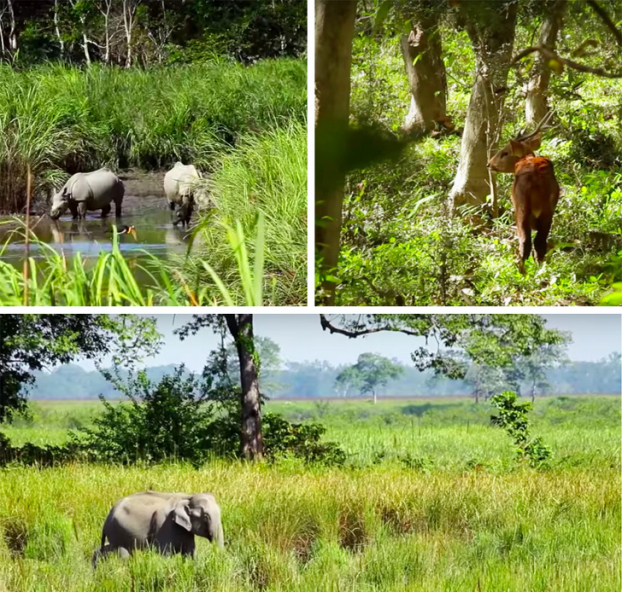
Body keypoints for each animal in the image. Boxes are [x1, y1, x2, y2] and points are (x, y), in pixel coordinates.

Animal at [92, 488, 224, 568]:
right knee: (123, 554)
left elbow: (189, 553)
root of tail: (107, 519)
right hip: (118, 533)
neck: (187, 497)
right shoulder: (164, 525)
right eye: (206, 516)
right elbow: (165, 553)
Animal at [490, 112, 564, 270]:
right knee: (540, 242)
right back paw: (539, 268)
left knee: (525, 241)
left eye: (504, 153)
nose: (489, 163)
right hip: (549, 208)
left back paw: (521, 270)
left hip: (521, 206)